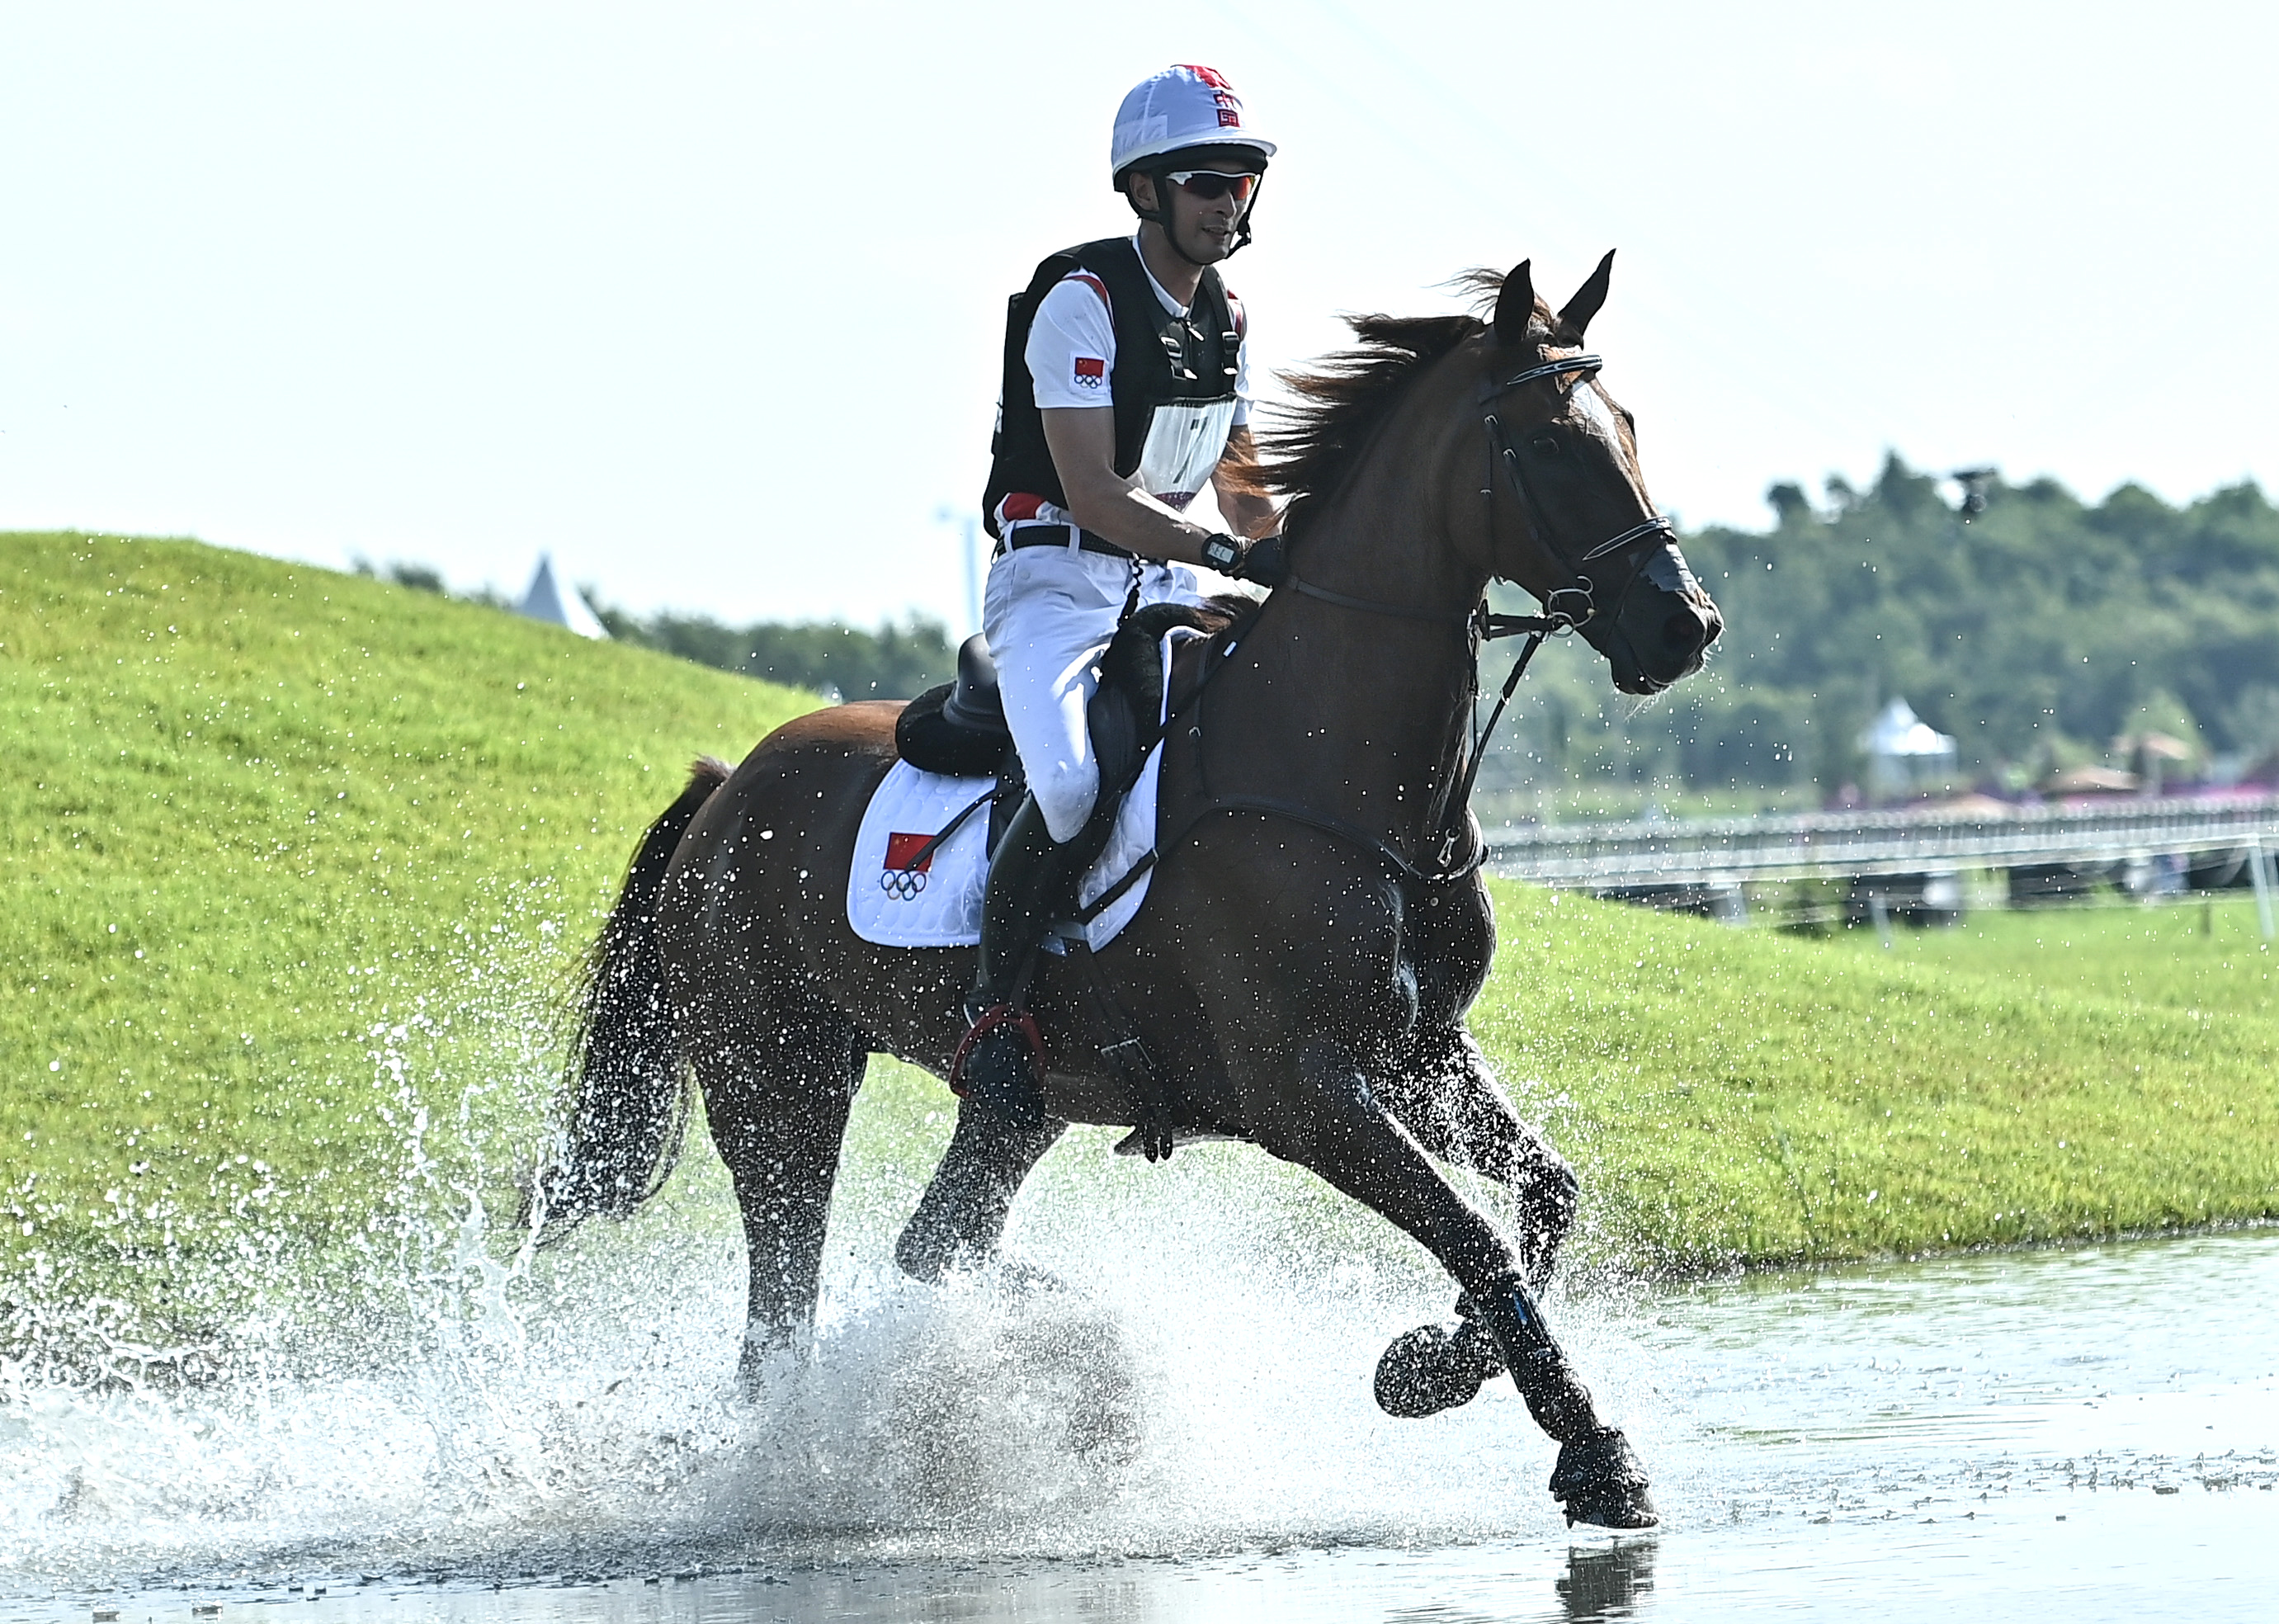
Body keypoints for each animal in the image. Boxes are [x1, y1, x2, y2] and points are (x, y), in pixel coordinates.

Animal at [533, 256, 1714, 1530]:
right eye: (1550, 445)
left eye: (1628, 428)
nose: (1683, 627)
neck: (1336, 772)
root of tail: (726, 785)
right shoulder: (1307, 1093)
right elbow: (1476, 1237)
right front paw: (1589, 1452)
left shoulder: (1416, 1053)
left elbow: (1545, 1196)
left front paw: (1433, 1363)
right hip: (777, 1083)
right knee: (782, 1317)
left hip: (1018, 1099)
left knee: (932, 1248)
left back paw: (1064, 1353)